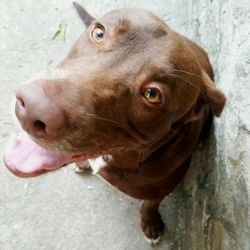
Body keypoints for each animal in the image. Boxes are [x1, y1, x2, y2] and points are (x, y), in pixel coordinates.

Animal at [3, 2, 227, 245]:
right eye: (99, 33)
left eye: (152, 94)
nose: (34, 107)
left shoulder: (162, 189)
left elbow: (151, 204)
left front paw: (150, 223)